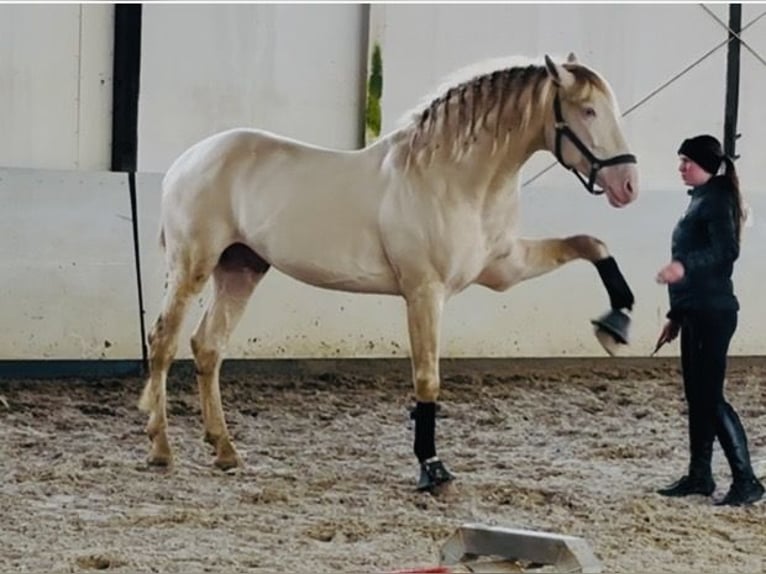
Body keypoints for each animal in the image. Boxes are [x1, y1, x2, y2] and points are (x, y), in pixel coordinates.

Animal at [139, 53, 639, 491]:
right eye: (588, 110)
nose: (628, 186)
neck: (452, 179)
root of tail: (187, 160)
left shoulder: (506, 269)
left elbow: (591, 244)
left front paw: (616, 323)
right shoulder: (425, 293)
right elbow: (427, 378)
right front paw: (432, 469)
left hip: (241, 268)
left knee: (208, 347)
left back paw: (225, 450)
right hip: (192, 267)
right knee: (163, 342)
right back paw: (161, 449)